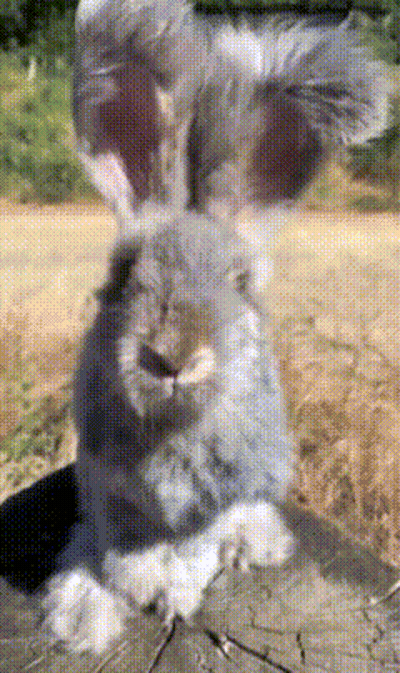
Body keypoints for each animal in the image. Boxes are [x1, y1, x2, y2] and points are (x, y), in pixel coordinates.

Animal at [42, 212, 294, 654]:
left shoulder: (212, 504)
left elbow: (194, 554)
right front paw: (139, 587)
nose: (170, 358)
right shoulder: (112, 496)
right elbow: (124, 551)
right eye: (125, 272)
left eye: (238, 282)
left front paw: (174, 598)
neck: (172, 424)